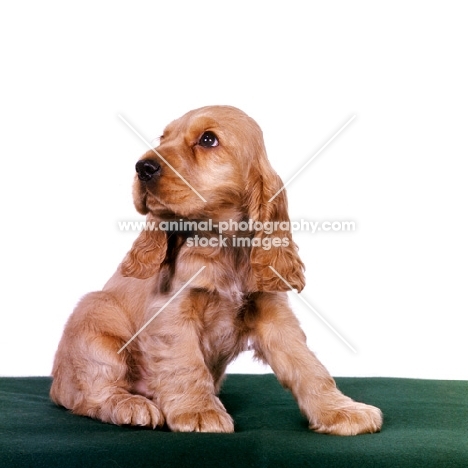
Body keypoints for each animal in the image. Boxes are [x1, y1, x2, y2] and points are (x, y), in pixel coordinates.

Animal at [49, 106, 382, 436]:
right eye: (163, 138)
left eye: (208, 139)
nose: (142, 167)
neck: (222, 247)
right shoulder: (172, 313)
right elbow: (186, 364)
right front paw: (199, 411)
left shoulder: (273, 314)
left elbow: (307, 365)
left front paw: (340, 411)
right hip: (95, 320)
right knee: (91, 395)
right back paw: (131, 405)